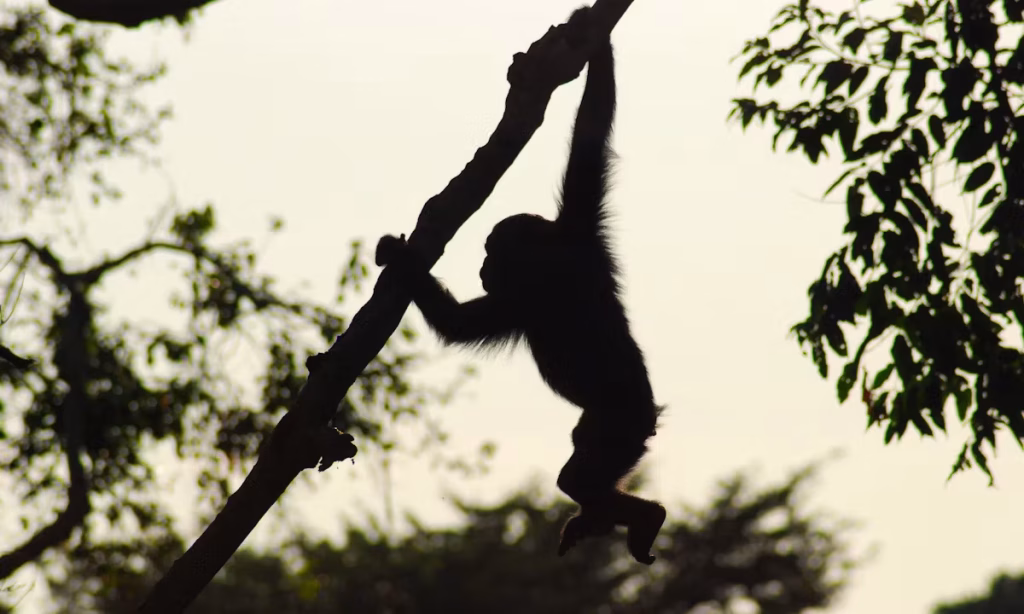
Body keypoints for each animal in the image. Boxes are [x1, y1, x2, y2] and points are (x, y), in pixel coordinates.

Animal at [375, 9, 666, 565]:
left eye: (492, 251)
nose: (483, 267)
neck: (551, 258)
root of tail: (649, 414)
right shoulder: (580, 231)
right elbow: (593, 129)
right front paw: (596, 42)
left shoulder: (527, 293)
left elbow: (459, 326)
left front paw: (400, 259)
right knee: (580, 473)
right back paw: (605, 520)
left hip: (618, 428)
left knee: (579, 477)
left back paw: (643, 517)